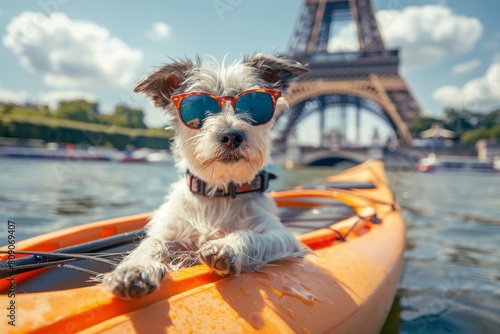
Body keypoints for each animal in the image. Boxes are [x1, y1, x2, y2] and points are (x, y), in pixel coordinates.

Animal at [103, 53, 306, 298]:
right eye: (199, 107)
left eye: (254, 104)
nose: (231, 135)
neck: (217, 192)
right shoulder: (170, 230)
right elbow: (151, 243)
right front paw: (134, 268)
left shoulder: (283, 237)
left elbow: (249, 235)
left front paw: (226, 246)